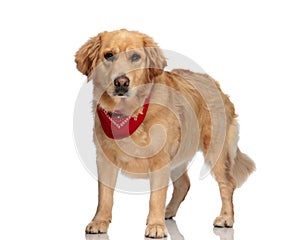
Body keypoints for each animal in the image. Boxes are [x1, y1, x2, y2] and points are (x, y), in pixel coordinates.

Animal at [75, 29, 255, 237]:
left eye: (135, 57)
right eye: (109, 55)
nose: (121, 82)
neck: (131, 113)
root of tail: (214, 83)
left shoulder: (160, 159)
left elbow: (156, 197)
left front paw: (155, 225)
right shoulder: (105, 159)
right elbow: (104, 195)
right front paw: (99, 221)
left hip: (215, 150)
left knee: (227, 183)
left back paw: (226, 217)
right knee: (184, 184)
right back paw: (168, 212)